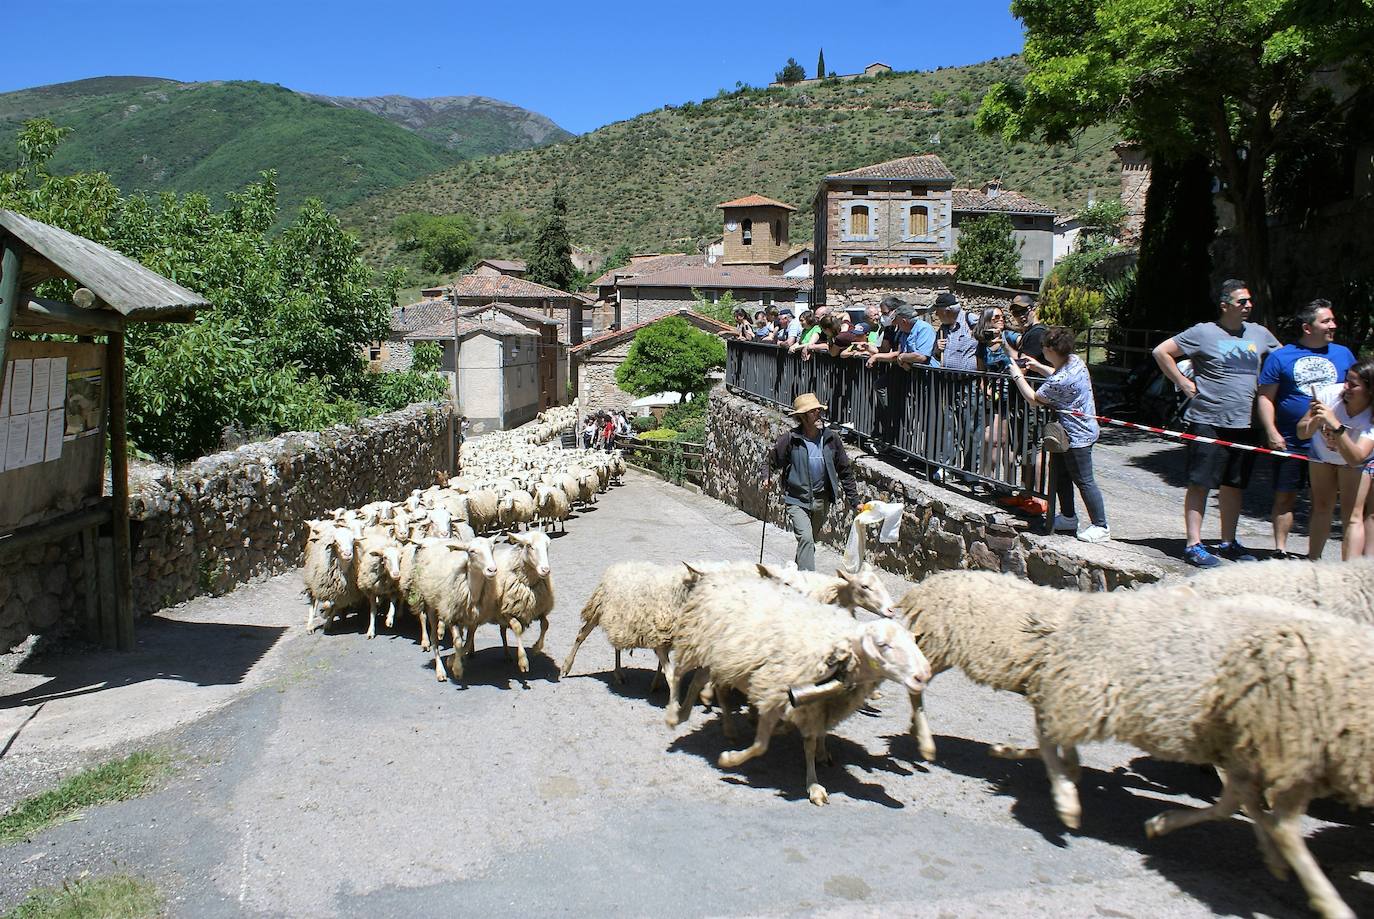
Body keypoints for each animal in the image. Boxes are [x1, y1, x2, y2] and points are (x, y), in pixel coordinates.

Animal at [475, 527, 555, 670]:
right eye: (529, 546)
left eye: (548, 545)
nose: (545, 570)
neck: (528, 584)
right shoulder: (506, 611)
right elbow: (517, 628)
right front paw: (523, 661)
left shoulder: (539, 610)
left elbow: (546, 624)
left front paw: (536, 648)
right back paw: (469, 651)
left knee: (502, 632)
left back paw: (507, 655)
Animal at [667, 574, 928, 802]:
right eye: (883, 645)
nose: (922, 675)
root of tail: (720, 577)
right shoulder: (774, 693)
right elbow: (760, 746)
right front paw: (730, 760)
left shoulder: (814, 708)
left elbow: (810, 744)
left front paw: (813, 783)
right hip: (695, 641)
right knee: (678, 674)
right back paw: (673, 715)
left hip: (721, 657)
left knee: (701, 680)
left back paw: (701, 718)